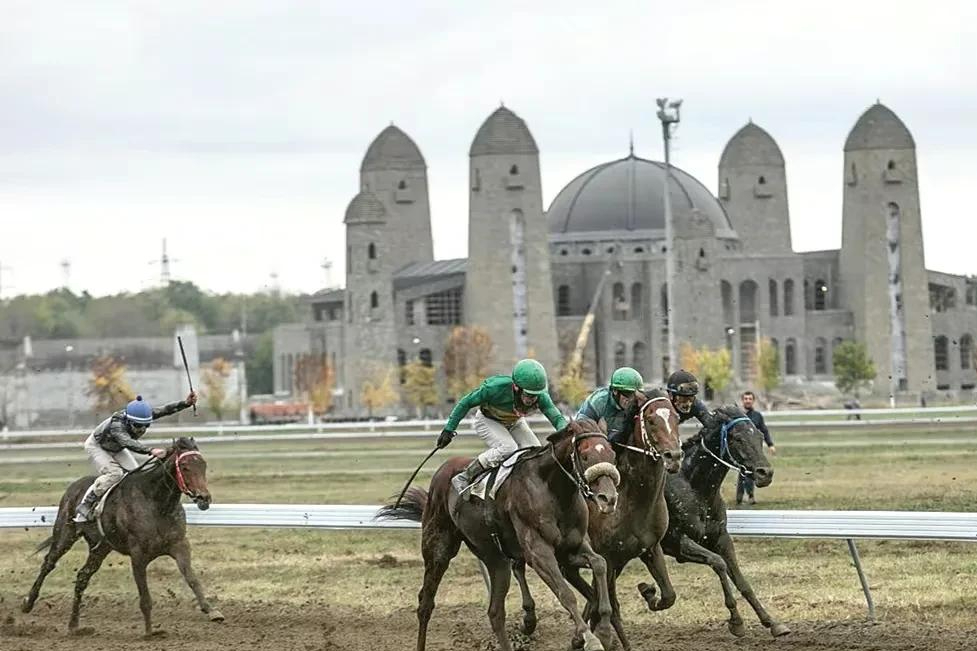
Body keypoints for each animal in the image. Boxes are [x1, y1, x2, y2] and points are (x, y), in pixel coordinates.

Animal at [21, 436, 223, 640]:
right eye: (184, 466)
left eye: (203, 465)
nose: (204, 498)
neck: (157, 503)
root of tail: (74, 486)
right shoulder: (138, 554)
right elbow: (145, 597)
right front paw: (150, 632)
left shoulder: (179, 545)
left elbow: (192, 579)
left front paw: (212, 611)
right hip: (65, 533)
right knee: (48, 563)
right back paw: (28, 603)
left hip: (100, 547)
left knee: (82, 577)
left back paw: (74, 626)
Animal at [378, 418, 620, 651]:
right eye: (585, 455)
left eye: (612, 454)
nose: (608, 498)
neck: (553, 489)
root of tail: (444, 470)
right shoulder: (538, 552)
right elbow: (565, 594)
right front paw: (591, 639)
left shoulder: (570, 548)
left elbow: (600, 563)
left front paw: (605, 632)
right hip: (438, 548)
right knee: (426, 603)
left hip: (494, 558)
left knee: (495, 612)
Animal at [516, 392, 684, 651]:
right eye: (651, 419)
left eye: (676, 417)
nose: (673, 456)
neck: (631, 498)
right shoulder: (608, 556)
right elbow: (609, 604)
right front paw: (597, 636)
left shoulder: (650, 548)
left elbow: (668, 596)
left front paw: (648, 592)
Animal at [632, 404, 792, 640]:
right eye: (737, 438)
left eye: (760, 435)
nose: (765, 473)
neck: (695, 488)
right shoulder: (676, 543)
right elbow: (718, 563)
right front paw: (736, 622)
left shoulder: (720, 538)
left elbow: (741, 581)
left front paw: (772, 622)